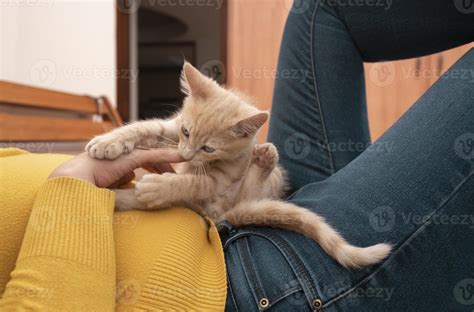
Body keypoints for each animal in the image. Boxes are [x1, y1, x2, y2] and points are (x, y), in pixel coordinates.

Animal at [87, 61, 390, 268]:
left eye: (208, 148)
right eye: (186, 132)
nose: (185, 155)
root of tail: (218, 215)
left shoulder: (219, 178)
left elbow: (192, 181)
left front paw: (160, 186)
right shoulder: (170, 130)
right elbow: (144, 128)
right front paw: (109, 142)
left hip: (249, 190)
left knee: (250, 195)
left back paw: (265, 158)